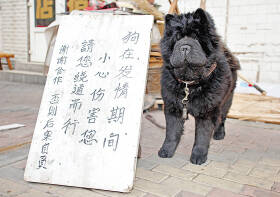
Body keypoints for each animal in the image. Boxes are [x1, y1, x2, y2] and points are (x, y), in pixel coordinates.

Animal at [159, 8, 240, 165]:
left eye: (196, 38)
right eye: (177, 39)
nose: (184, 47)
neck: (189, 83)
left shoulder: (207, 111)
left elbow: (202, 135)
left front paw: (198, 157)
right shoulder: (173, 107)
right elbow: (171, 132)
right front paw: (166, 151)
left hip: (226, 101)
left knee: (222, 119)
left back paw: (219, 134)